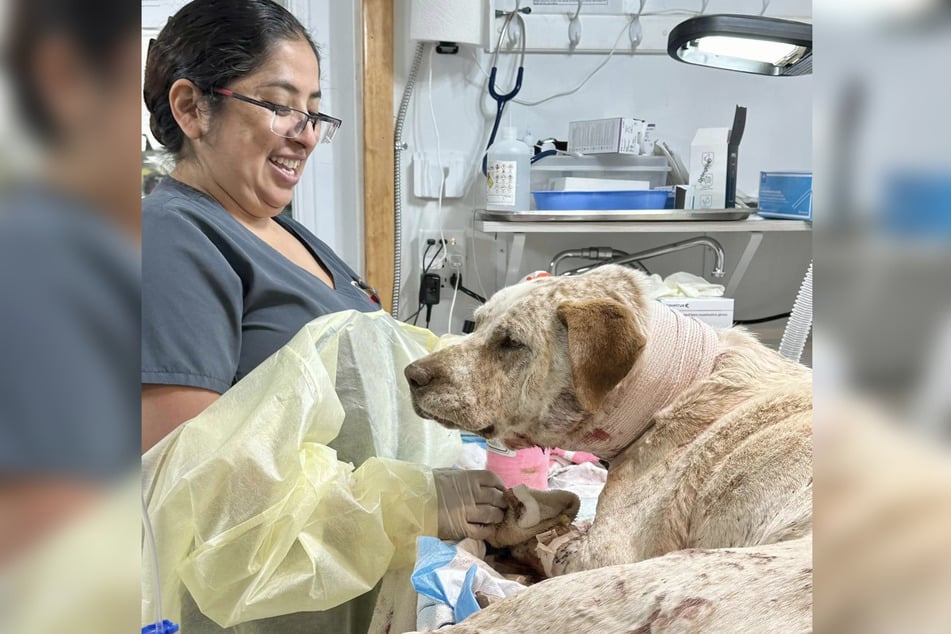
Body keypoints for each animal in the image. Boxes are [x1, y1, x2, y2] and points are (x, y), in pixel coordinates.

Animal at [406, 264, 816, 628]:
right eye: (476, 324)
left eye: (510, 343)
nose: (412, 375)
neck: (668, 393)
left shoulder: (598, 556)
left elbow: (552, 543)